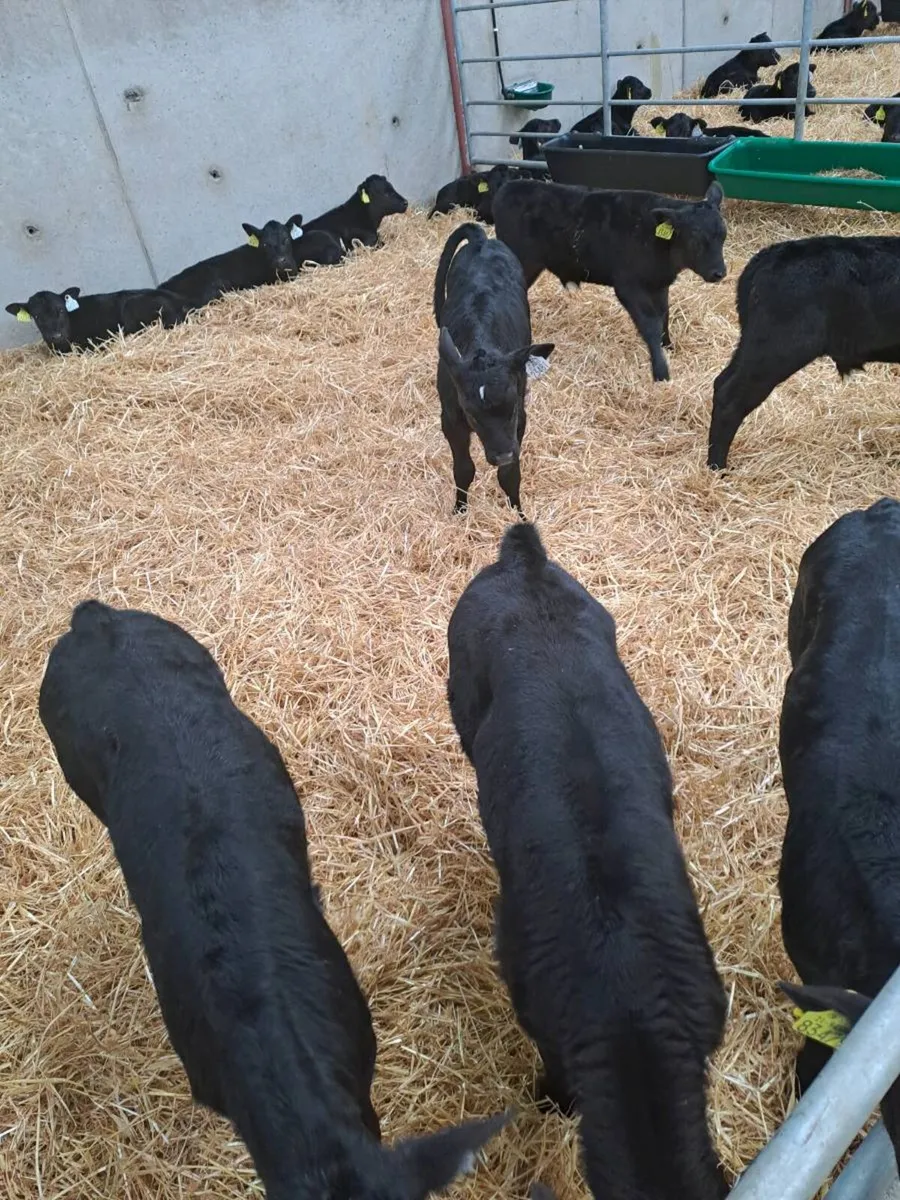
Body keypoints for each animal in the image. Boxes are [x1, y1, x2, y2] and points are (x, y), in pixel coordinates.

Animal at [433, 223, 553, 514]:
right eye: (472, 415)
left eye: (511, 409)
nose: (502, 455)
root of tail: (482, 242)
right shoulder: (450, 419)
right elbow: (463, 468)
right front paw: (460, 509)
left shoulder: (520, 418)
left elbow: (510, 474)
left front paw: (518, 512)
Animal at [493, 178, 726, 383]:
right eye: (695, 238)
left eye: (723, 235)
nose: (720, 273)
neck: (653, 239)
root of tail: (510, 186)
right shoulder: (628, 286)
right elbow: (650, 324)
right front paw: (660, 371)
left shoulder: (659, 285)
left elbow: (664, 316)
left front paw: (668, 346)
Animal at [707, 235, 900, 469]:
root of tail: (764, 259)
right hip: (777, 349)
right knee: (730, 397)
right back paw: (717, 468)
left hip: (754, 344)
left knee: (721, 383)